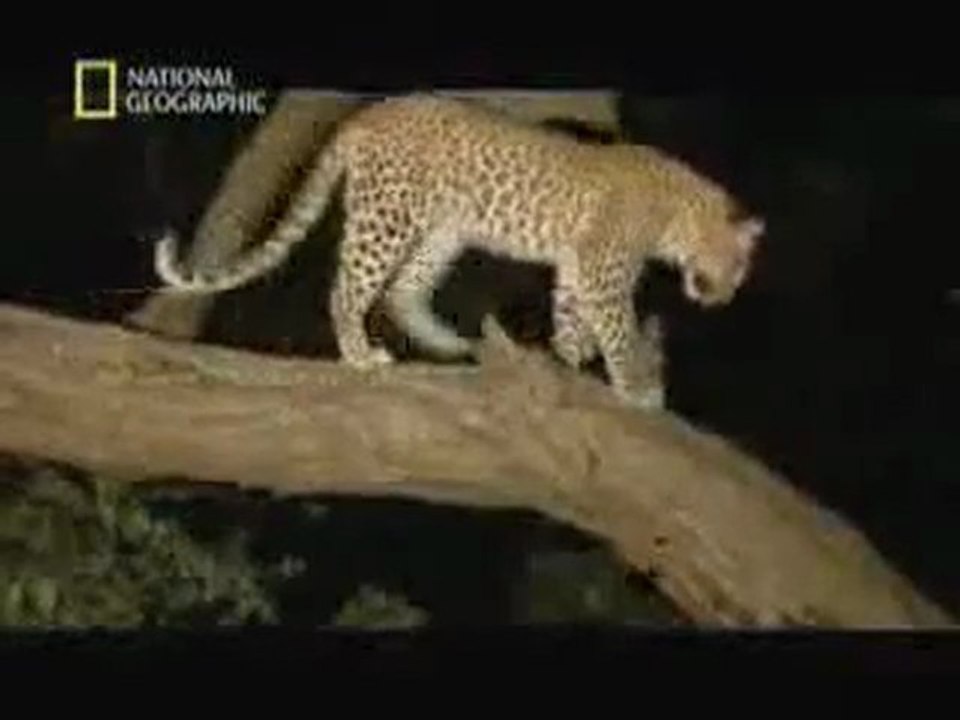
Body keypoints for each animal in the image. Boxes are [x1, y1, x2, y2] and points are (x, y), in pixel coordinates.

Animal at [153, 92, 763, 410]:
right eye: (739, 266)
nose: (724, 301)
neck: (679, 213)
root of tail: (369, 113)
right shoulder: (603, 269)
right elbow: (617, 328)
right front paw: (637, 386)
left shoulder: (576, 266)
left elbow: (571, 318)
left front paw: (569, 361)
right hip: (388, 215)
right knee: (350, 287)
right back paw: (360, 353)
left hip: (444, 231)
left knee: (403, 290)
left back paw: (452, 343)